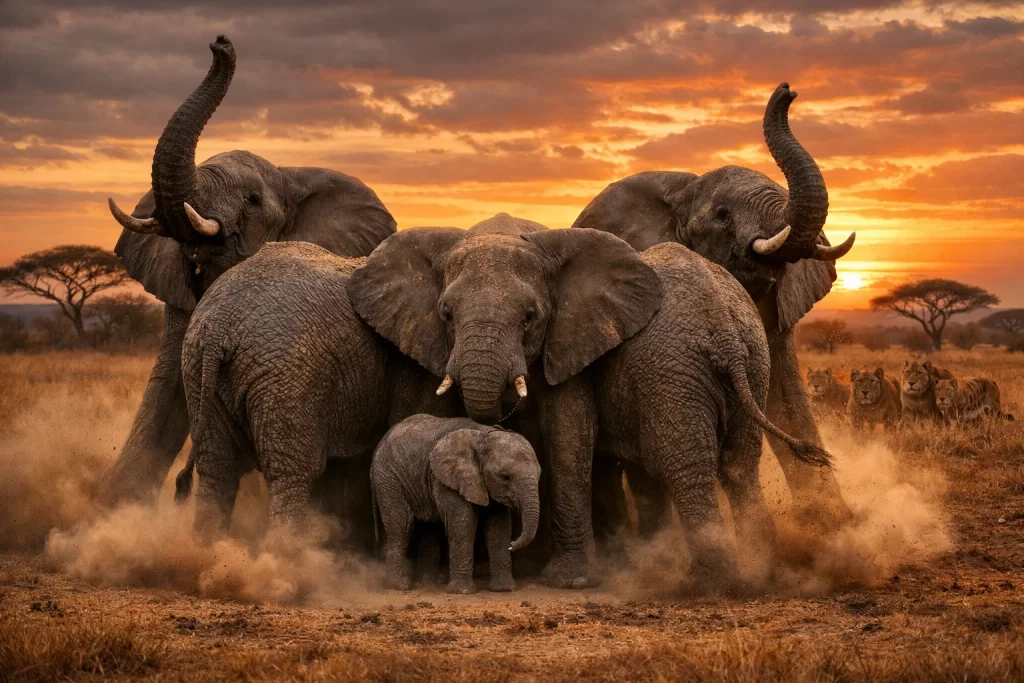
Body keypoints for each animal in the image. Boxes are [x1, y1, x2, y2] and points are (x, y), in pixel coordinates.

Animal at [104, 35, 396, 503]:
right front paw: (111, 510)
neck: (290, 175)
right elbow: (168, 387)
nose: (220, 43)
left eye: (253, 200)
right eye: (193, 266)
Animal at [171, 241, 456, 539]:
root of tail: (218, 328)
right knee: (292, 475)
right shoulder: (414, 361)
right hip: (288, 377)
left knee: (217, 468)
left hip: (198, 369)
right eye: (449, 315)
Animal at [370, 414, 541, 594]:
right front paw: (462, 591)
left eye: (539, 474)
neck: (482, 435)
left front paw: (504, 589)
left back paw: (428, 584)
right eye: (505, 476)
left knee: (428, 527)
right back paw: (400, 585)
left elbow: (499, 527)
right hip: (388, 478)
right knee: (402, 525)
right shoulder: (445, 479)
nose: (512, 545)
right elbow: (463, 522)